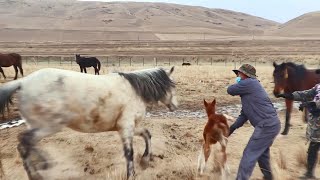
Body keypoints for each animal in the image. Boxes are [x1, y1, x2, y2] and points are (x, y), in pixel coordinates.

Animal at [0, 67, 178, 179]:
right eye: (173, 87)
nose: (176, 106)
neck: (134, 90)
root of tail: (22, 83)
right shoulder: (126, 126)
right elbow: (129, 153)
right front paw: (132, 174)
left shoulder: (130, 127)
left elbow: (147, 134)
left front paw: (145, 160)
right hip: (48, 126)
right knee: (25, 141)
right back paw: (42, 166)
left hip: (38, 126)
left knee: (24, 145)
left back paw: (37, 170)